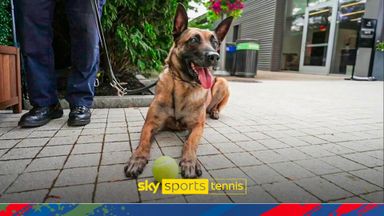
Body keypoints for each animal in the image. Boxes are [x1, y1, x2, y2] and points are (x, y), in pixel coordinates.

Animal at [124, 4, 232, 178]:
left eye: (215, 42)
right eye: (194, 40)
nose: (214, 56)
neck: (183, 85)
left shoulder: (197, 127)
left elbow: (190, 143)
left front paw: (189, 162)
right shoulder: (150, 124)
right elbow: (143, 141)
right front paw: (137, 159)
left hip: (223, 82)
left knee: (217, 106)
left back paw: (215, 112)